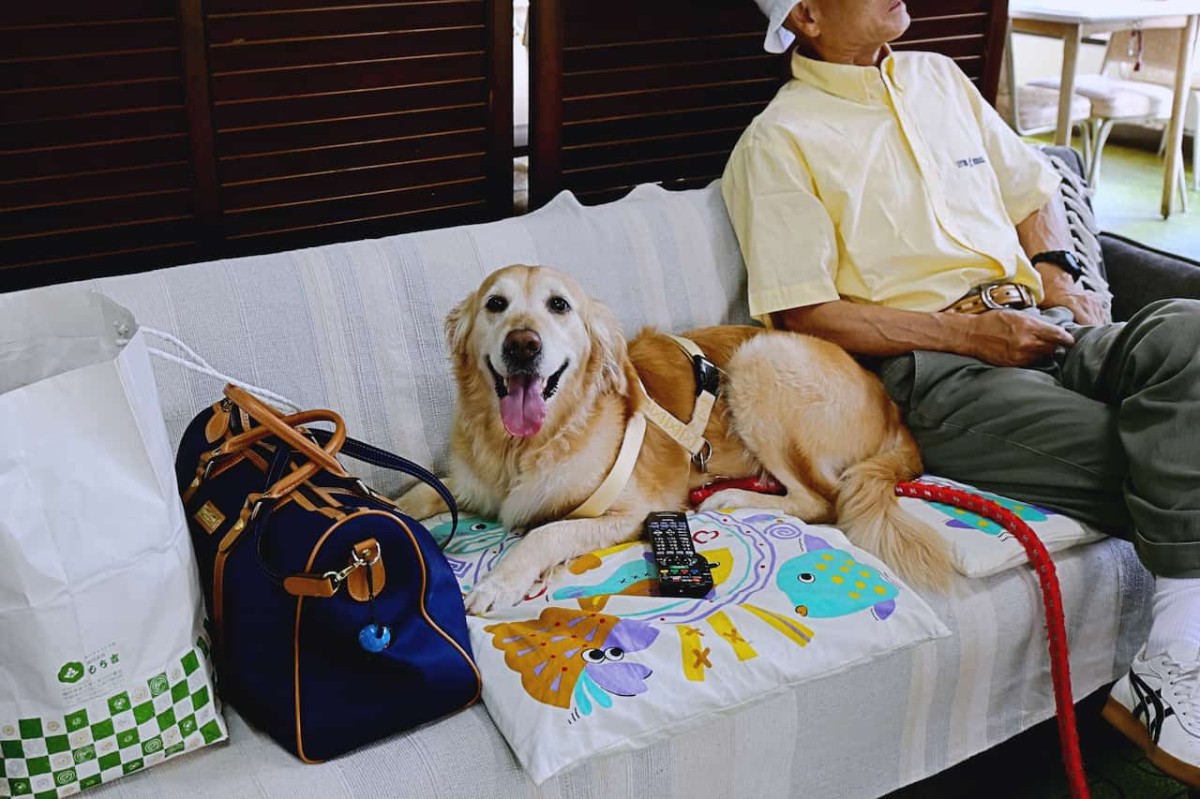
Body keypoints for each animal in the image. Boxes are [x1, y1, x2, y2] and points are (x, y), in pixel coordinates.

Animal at [398, 263, 950, 611]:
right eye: (496, 304)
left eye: (559, 305)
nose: (522, 346)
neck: (522, 446)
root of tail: (893, 409)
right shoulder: (469, 484)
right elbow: (420, 491)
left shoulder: (635, 510)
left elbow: (544, 533)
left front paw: (500, 581)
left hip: (759, 361)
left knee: (823, 500)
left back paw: (729, 497)